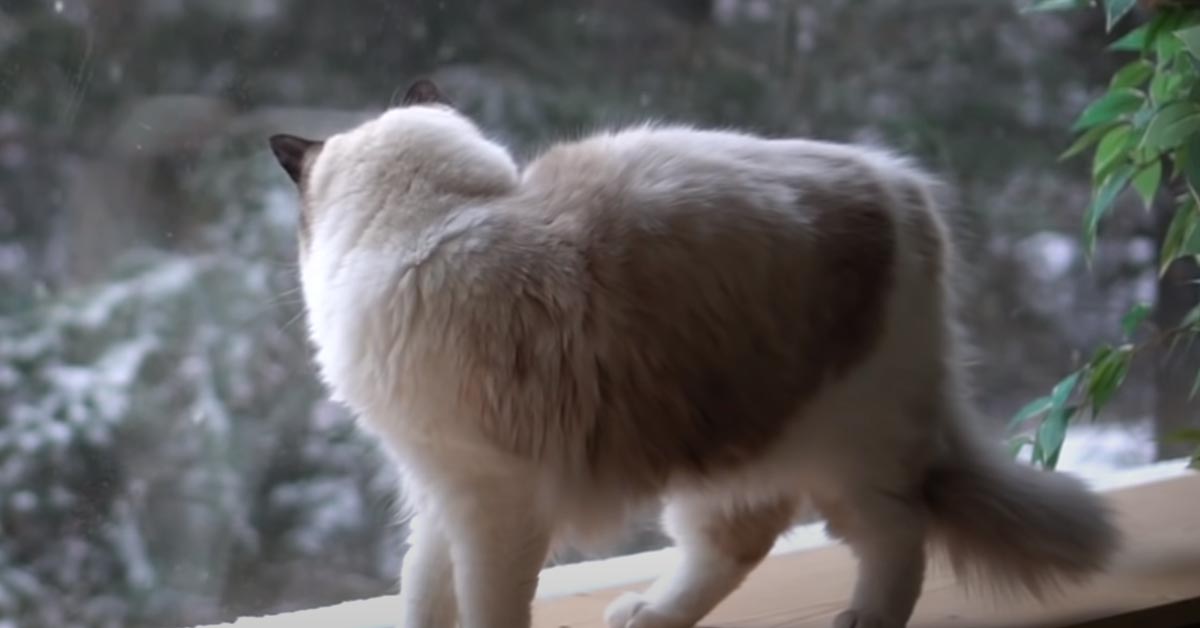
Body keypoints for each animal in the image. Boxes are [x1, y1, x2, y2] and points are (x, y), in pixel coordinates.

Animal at [270, 79, 1113, 628]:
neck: (438, 219)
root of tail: (901, 182)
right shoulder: (438, 488)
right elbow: (424, 591)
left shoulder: (490, 500)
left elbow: (485, 607)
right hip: (727, 449)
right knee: (739, 545)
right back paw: (651, 615)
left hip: (848, 450)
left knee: (898, 535)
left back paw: (861, 620)